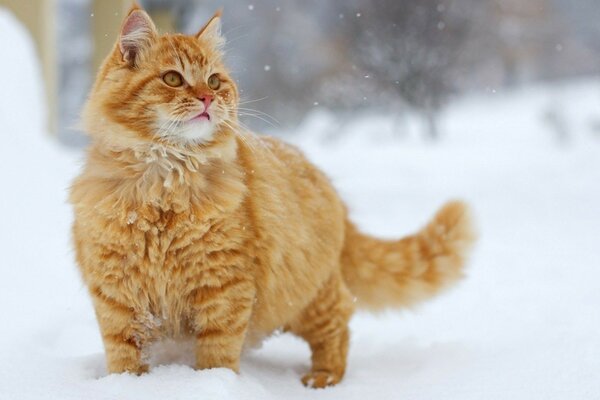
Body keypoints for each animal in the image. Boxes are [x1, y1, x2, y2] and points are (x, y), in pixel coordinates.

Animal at [69, 4, 474, 390]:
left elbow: (217, 353)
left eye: (214, 80)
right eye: (172, 78)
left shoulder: (223, 287)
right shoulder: (117, 294)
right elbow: (124, 354)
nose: (207, 97)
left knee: (339, 322)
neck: (164, 183)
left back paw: (324, 377)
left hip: (305, 299)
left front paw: (210, 384)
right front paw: (128, 385)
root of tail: (326, 183)